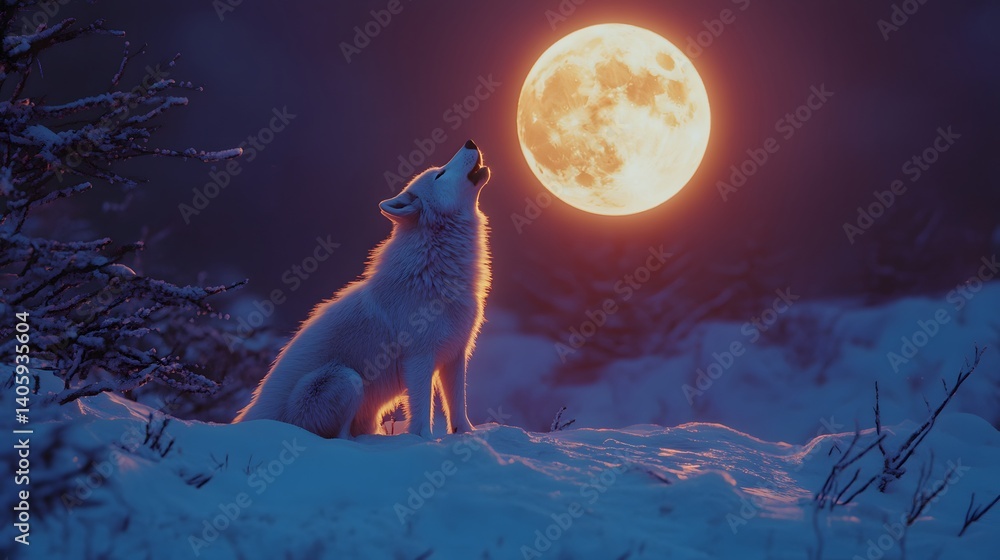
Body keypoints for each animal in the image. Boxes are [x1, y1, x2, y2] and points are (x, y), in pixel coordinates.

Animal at [234, 140, 491, 439]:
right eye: (440, 174)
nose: (470, 142)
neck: (433, 272)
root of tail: (254, 416)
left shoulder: (456, 355)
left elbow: (458, 407)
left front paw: (468, 435)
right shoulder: (419, 359)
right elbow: (421, 413)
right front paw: (424, 441)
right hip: (348, 379)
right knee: (340, 437)